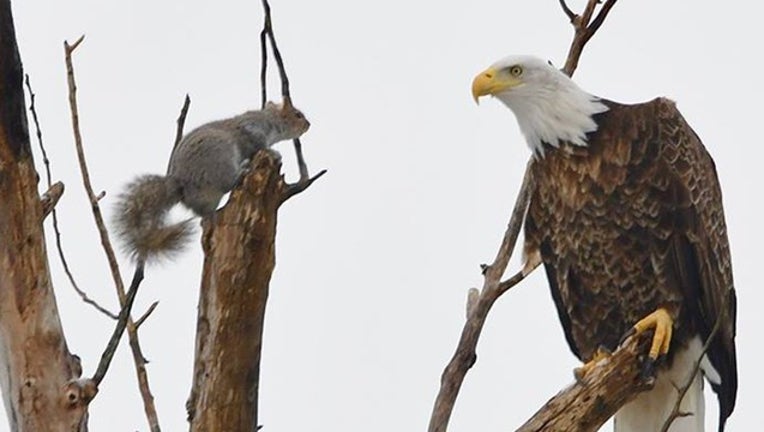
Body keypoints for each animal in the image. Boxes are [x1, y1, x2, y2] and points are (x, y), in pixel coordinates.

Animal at [113, 101, 310, 263]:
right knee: (228, 182)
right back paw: (242, 171)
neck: (270, 118)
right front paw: (273, 152)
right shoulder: (252, 127)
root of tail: (181, 185)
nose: (308, 125)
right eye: (297, 114)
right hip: (219, 157)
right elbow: (259, 144)